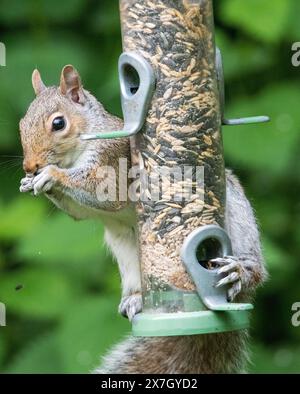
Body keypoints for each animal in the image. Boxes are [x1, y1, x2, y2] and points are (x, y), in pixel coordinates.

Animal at [18, 64, 268, 372]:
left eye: (58, 124)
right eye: (21, 124)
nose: (30, 166)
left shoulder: (112, 161)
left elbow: (104, 194)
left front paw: (51, 175)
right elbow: (80, 212)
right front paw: (30, 183)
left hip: (239, 219)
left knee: (255, 271)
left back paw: (240, 271)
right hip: (125, 249)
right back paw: (135, 300)